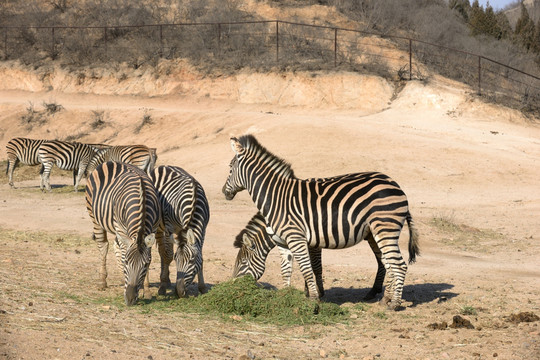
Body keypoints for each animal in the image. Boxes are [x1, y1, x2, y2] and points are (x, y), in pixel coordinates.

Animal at [85, 162, 160, 306]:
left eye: (145, 265)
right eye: (127, 262)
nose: (130, 299)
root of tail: (111, 162)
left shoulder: (153, 229)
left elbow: (149, 256)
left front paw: (147, 291)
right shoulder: (121, 228)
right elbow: (123, 253)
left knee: (116, 245)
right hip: (95, 218)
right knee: (104, 246)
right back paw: (102, 282)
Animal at [152, 166, 211, 298]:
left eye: (192, 260)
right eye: (176, 259)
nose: (179, 292)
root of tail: (162, 166)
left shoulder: (203, 229)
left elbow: (201, 257)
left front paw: (202, 287)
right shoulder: (168, 227)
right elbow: (168, 255)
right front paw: (162, 287)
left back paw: (168, 281)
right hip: (158, 226)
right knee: (162, 252)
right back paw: (163, 281)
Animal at [234, 212, 386, 300]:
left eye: (243, 263)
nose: (233, 285)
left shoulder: (313, 243)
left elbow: (316, 267)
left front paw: (319, 292)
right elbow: (305, 267)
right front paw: (307, 291)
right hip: (372, 234)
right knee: (382, 259)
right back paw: (374, 291)